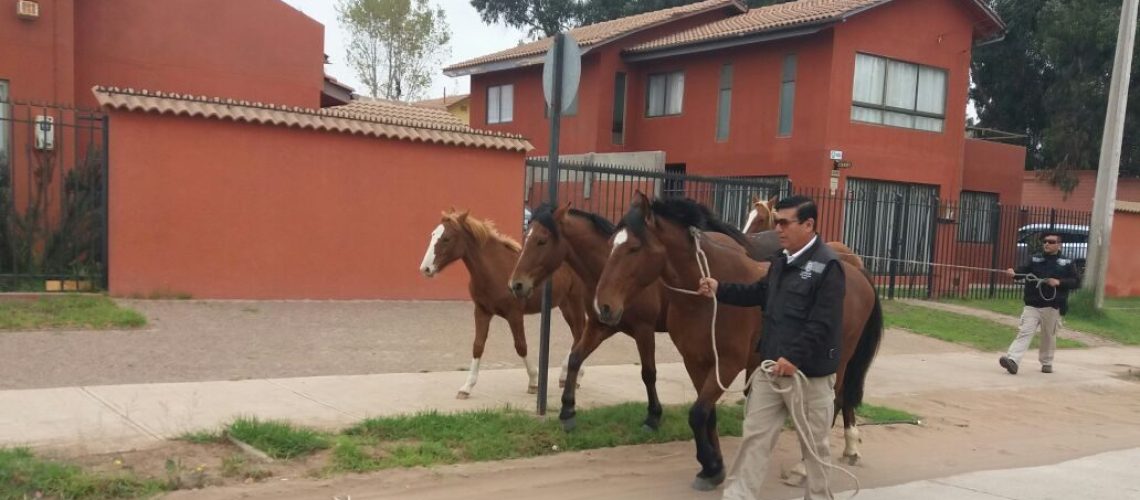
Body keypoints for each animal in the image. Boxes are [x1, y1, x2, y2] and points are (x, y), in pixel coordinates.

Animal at [419, 209, 588, 399]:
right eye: (433, 235)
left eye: (446, 238)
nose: (425, 269)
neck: (495, 269)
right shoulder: (482, 311)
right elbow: (478, 346)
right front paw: (466, 387)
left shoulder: (514, 314)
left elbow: (521, 346)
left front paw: (534, 381)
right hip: (565, 304)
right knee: (578, 333)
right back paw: (568, 375)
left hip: (575, 301)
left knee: (579, 332)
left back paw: (572, 375)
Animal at [509, 202, 671, 432]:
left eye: (541, 240)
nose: (516, 284)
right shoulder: (599, 325)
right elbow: (575, 358)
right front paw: (567, 411)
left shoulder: (644, 330)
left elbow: (648, 373)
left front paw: (653, 416)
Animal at [596, 192, 884, 490]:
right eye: (611, 243)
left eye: (634, 248)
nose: (603, 306)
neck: (705, 301)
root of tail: (855, 272)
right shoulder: (696, 362)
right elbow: (707, 414)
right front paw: (713, 468)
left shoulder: (727, 364)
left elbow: (697, 413)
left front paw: (711, 464)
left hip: (837, 361)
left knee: (834, 402)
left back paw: (806, 467)